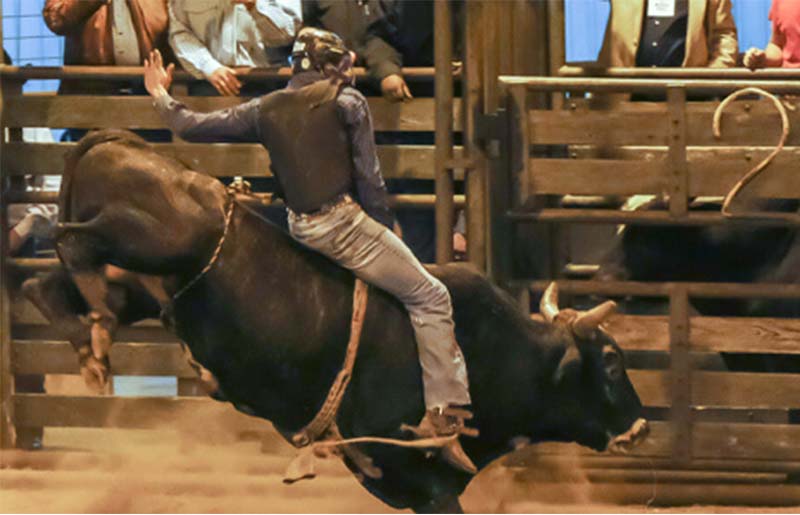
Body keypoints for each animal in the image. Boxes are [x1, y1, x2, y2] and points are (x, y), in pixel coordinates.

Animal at [26, 130, 648, 515]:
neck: (494, 352)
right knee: (71, 242)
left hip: (149, 279)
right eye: (613, 363)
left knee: (46, 284)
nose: (641, 427)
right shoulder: (418, 477)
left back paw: (93, 342)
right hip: (159, 240)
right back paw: (94, 322)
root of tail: (121, 141)